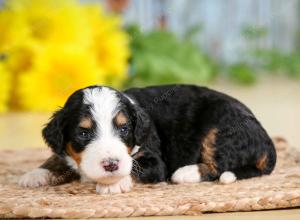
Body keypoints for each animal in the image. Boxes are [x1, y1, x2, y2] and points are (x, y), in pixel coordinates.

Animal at [18, 84, 276, 194]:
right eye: (83, 133)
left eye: (124, 129)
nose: (111, 165)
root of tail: (266, 139)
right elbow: (58, 158)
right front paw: (36, 174)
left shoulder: (155, 160)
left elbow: (136, 167)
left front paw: (114, 183)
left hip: (220, 129)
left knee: (219, 164)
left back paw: (186, 173)